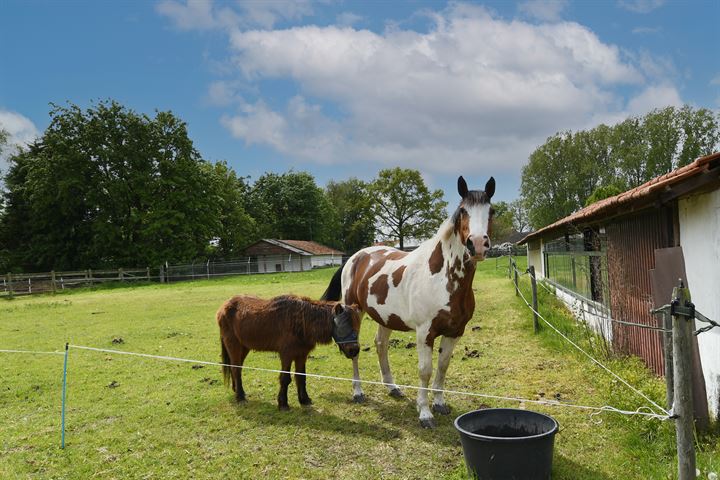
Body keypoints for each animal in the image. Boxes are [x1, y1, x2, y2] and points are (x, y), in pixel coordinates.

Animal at [214, 294, 360, 410]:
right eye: (344, 325)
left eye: (357, 327)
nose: (354, 350)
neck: (301, 321)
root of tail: (223, 307)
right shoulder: (287, 355)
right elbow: (285, 378)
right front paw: (283, 403)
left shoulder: (301, 355)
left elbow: (301, 377)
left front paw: (304, 400)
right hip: (234, 345)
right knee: (236, 369)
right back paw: (240, 396)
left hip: (244, 347)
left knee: (235, 367)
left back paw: (237, 391)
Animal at [322, 177, 496, 428]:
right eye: (463, 211)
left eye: (492, 211)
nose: (479, 244)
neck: (442, 277)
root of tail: (355, 258)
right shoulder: (425, 333)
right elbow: (425, 371)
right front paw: (424, 413)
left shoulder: (455, 332)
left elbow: (443, 366)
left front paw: (439, 404)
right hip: (354, 311)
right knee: (354, 350)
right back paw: (358, 392)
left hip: (384, 317)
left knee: (380, 345)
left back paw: (392, 387)